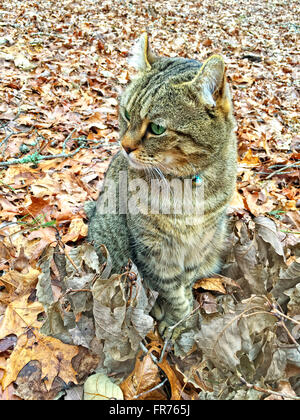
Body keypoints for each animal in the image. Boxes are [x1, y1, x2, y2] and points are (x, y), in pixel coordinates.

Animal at [85, 33, 238, 342]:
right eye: (126, 113)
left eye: (157, 128)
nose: (125, 146)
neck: (185, 187)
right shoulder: (152, 249)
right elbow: (169, 288)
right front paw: (177, 318)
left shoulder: (200, 245)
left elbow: (186, 281)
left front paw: (182, 316)